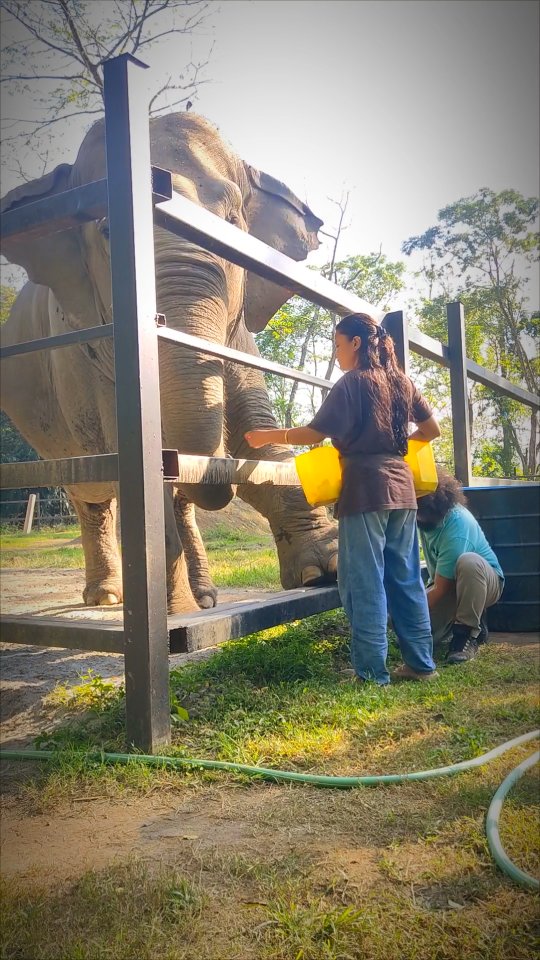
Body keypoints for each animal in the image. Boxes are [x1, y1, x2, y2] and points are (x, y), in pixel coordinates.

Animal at [0, 111, 338, 613]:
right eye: (107, 232)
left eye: (233, 222)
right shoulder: (86, 348)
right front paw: (176, 616)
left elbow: (252, 421)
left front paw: (325, 572)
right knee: (90, 491)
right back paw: (108, 597)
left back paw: (207, 598)